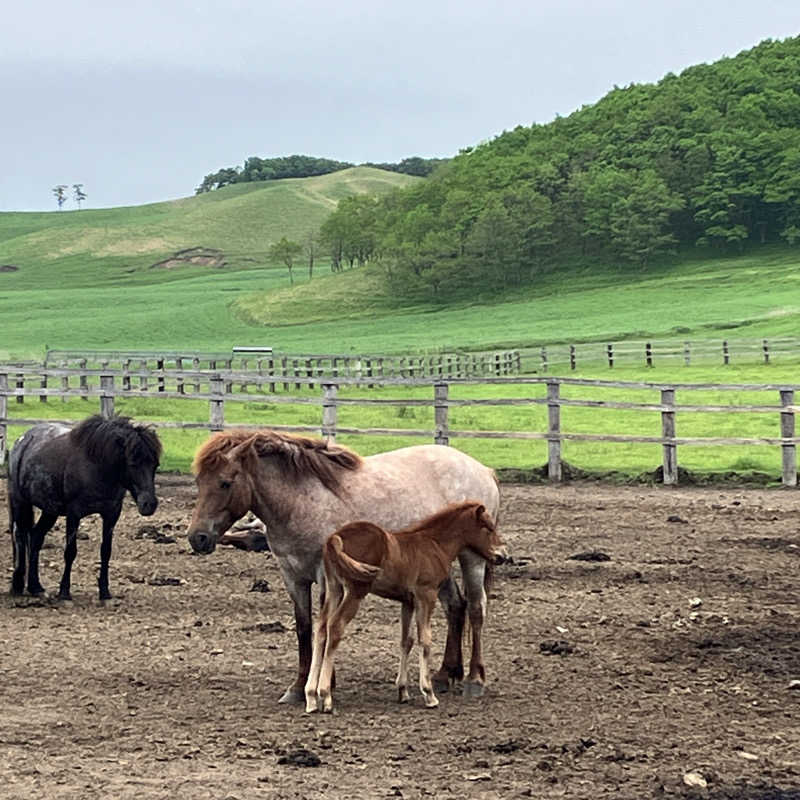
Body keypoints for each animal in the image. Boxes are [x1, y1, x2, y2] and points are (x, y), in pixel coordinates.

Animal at [8, 412, 162, 600]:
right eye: (133, 463)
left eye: (155, 465)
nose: (149, 504)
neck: (97, 466)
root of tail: (22, 440)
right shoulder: (74, 514)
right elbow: (70, 552)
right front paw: (64, 592)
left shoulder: (111, 514)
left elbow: (106, 551)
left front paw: (104, 592)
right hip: (20, 501)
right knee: (19, 536)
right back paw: (17, 585)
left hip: (50, 510)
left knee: (35, 537)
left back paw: (35, 586)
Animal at [304, 500, 500, 712]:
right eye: (488, 528)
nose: (502, 556)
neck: (434, 544)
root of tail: (335, 538)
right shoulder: (426, 595)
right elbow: (425, 640)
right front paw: (429, 694)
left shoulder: (408, 601)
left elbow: (407, 640)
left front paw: (403, 691)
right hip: (355, 591)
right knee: (335, 626)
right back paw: (326, 696)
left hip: (334, 589)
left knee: (321, 628)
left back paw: (311, 697)